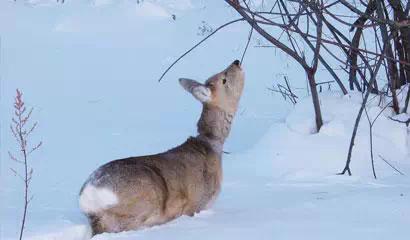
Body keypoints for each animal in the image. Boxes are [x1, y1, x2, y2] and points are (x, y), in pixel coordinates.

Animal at [79, 59, 243, 234]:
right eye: (223, 79)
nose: (236, 62)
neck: (211, 144)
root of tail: (88, 199)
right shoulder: (198, 203)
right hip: (141, 202)